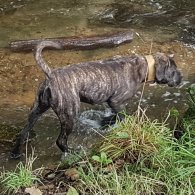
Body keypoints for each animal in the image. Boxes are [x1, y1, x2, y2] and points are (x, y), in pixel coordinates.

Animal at [10, 41, 181, 158]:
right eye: (174, 70)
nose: (182, 76)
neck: (144, 66)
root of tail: (51, 76)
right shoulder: (116, 102)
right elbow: (120, 116)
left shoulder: (112, 102)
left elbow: (113, 117)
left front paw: (104, 123)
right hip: (70, 114)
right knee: (61, 140)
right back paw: (74, 153)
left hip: (37, 109)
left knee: (23, 133)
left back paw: (16, 154)